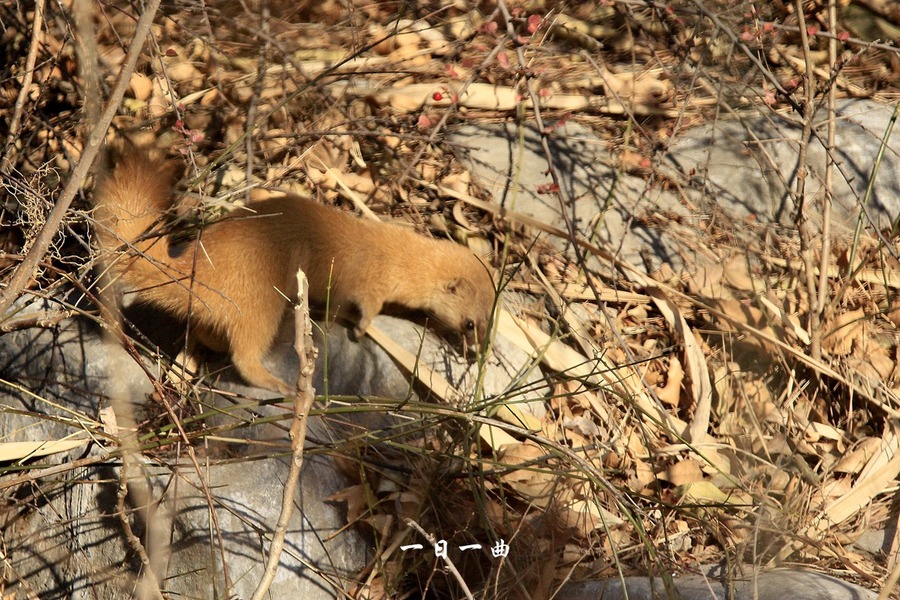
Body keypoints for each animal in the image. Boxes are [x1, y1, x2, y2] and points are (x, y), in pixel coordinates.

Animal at [95, 149, 496, 394]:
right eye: (470, 323)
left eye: (490, 320)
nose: (476, 354)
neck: (397, 252)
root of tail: (196, 268)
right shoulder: (369, 282)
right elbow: (364, 307)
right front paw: (358, 330)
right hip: (260, 303)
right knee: (245, 356)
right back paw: (280, 385)